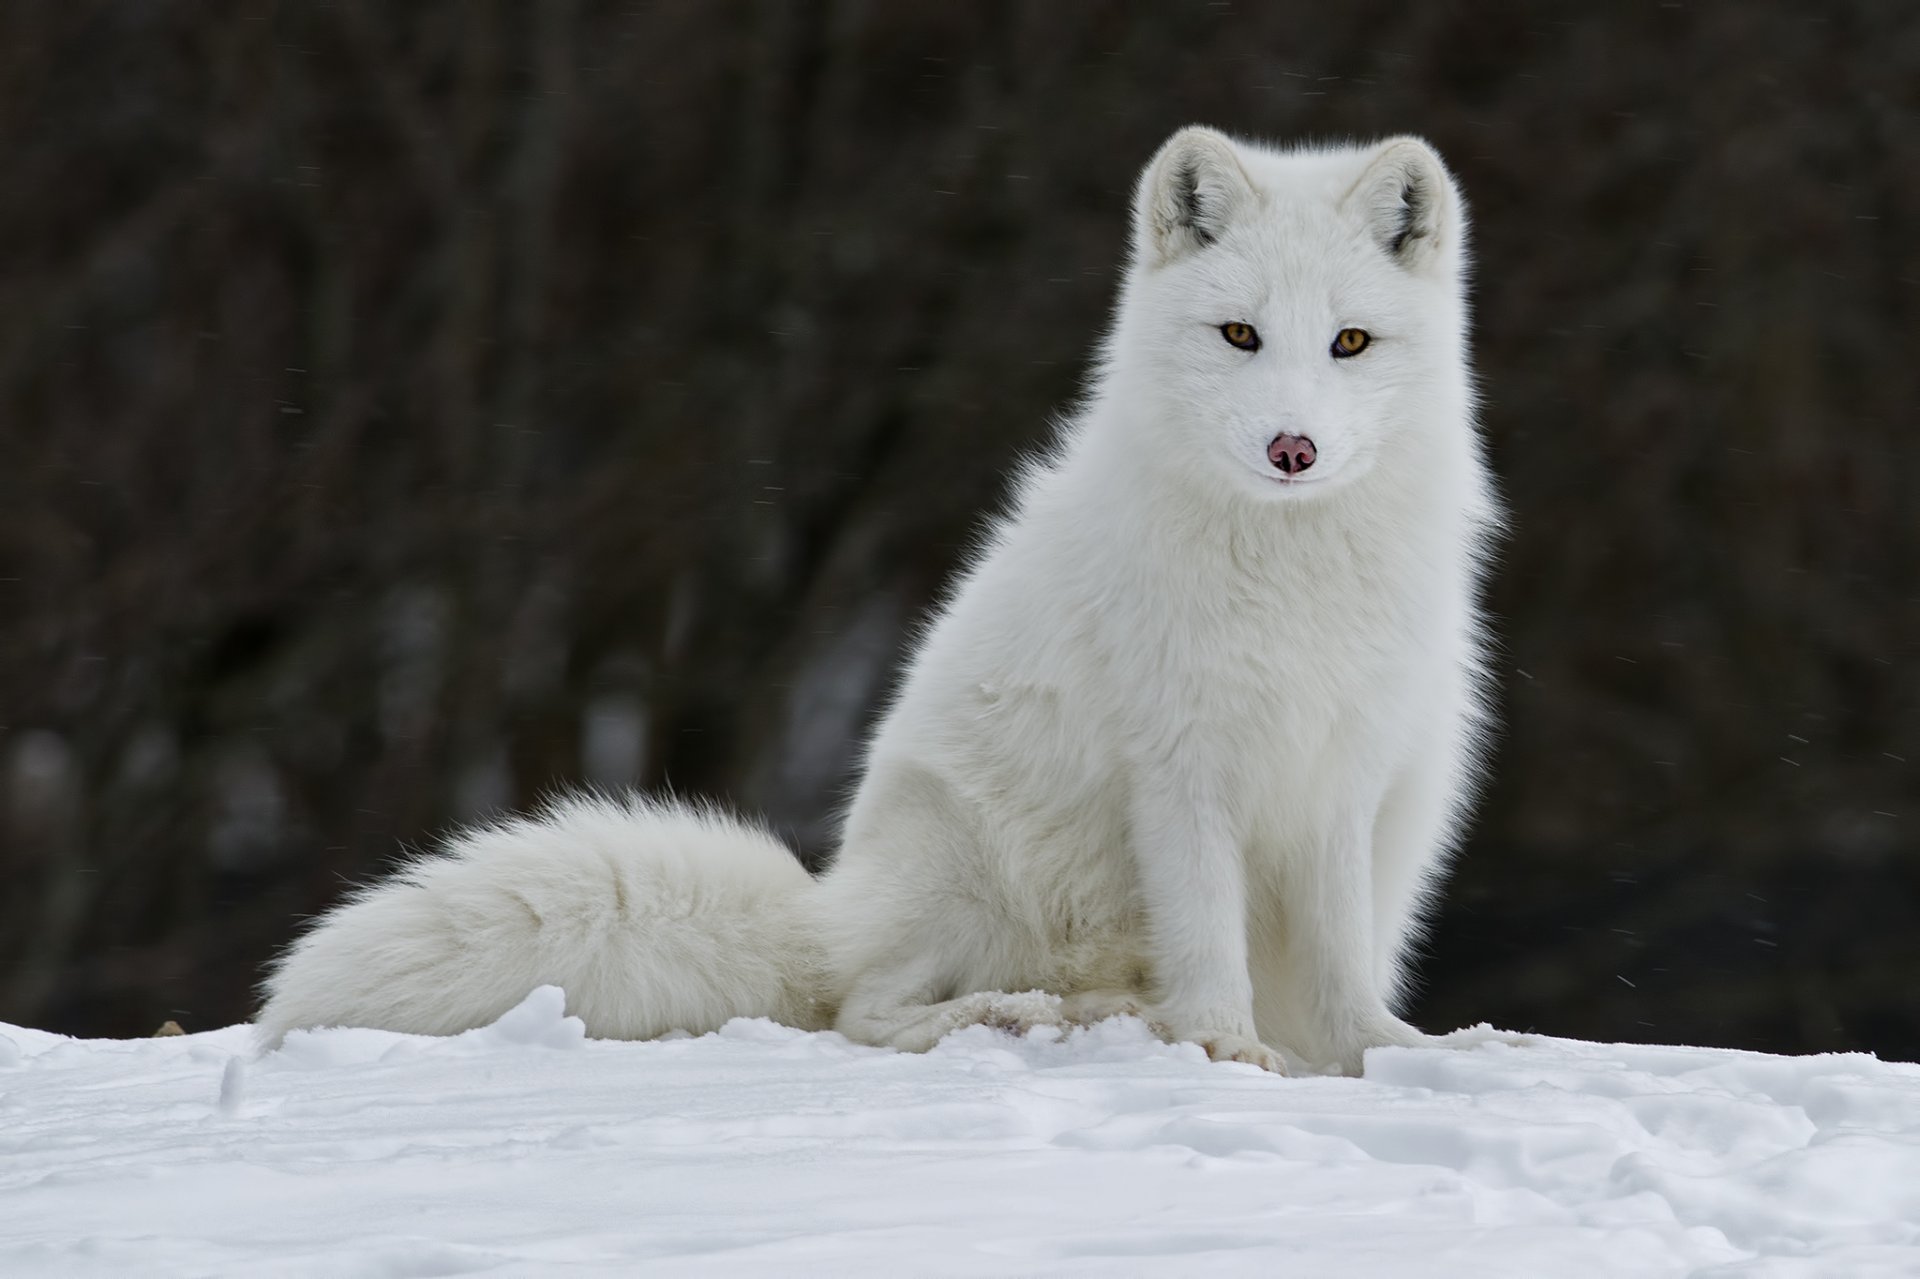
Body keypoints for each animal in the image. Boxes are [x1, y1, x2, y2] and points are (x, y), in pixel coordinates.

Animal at [258, 126, 1500, 1075]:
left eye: (1350, 341)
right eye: (1240, 334)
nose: (1293, 448)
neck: (1290, 573)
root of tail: (828, 905)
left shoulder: (1341, 776)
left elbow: (1339, 966)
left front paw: (1384, 1054)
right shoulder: (1183, 775)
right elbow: (1208, 942)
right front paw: (1229, 1051)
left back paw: (1099, 1011)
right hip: (962, 854)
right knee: (864, 1010)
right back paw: (1027, 1015)